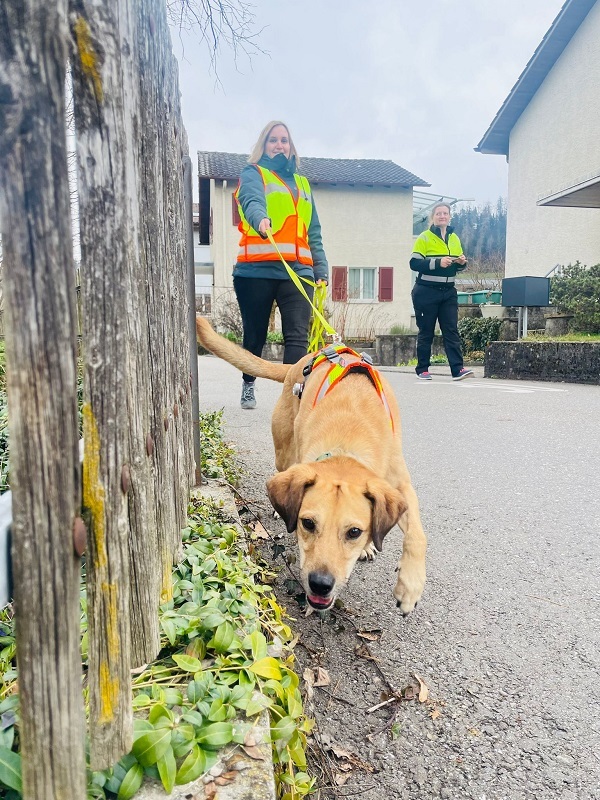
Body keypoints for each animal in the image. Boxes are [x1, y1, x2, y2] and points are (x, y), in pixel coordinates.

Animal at [197, 316, 426, 616]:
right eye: (307, 523)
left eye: (354, 532)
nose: (320, 584)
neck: (347, 441)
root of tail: (299, 362)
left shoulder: (400, 485)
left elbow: (417, 536)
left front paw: (410, 587)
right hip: (284, 451)